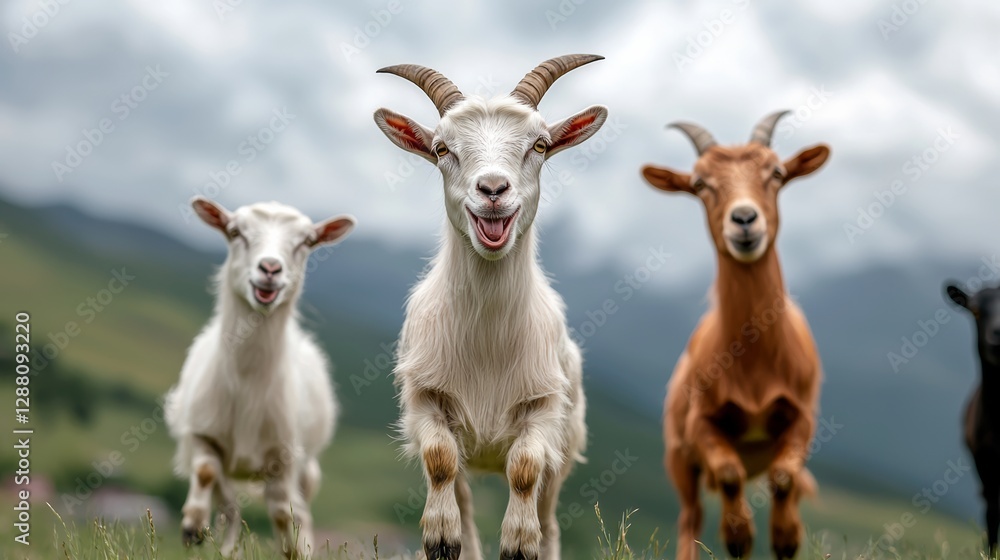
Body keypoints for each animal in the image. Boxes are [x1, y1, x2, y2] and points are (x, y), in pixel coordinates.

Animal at [164, 197, 355, 558]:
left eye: (307, 241)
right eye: (235, 232)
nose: (270, 268)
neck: (247, 384)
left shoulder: (283, 459)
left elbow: (282, 514)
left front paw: (293, 550)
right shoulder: (201, 432)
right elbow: (206, 473)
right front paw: (192, 527)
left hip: (307, 466)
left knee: (300, 511)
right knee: (231, 508)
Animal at [373, 55, 608, 560]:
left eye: (539, 145)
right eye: (442, 148)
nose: (493, 189)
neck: (487, 342)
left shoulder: (543, 408)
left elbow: (524, 469)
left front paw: (519, 543)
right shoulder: (426, 398)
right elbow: (439, 461)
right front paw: (439, 537)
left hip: (565, 449)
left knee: (548, 515)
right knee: (462, 499)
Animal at [641, 112, 831, 560]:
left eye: (776, 172)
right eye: (699, 183)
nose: (744, 219)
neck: (756, 367)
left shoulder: (803, 417)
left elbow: (783, 479)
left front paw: (785, 537)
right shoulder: (701, 424)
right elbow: (728, 475)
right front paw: (739, 535)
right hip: (678, 458)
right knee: (690, 516)